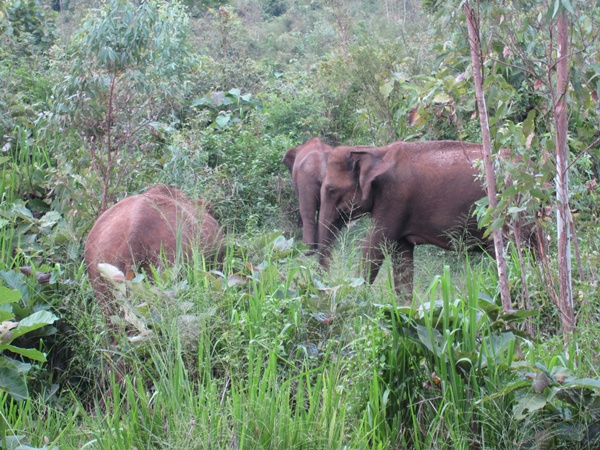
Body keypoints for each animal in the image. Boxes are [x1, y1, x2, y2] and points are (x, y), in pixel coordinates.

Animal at [318, 141, 488, 296]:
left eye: (331, 190)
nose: (325, 288)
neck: (378, 152)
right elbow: (401, 258)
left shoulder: (394, 198)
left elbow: (373, 246)